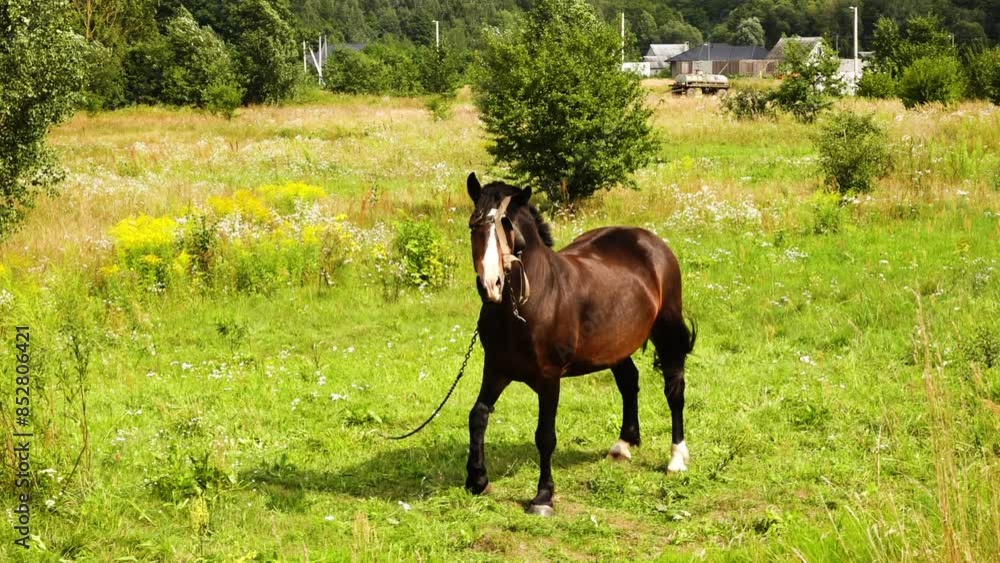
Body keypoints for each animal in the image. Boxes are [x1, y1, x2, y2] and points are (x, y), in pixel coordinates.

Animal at [464, 172, 696, 516]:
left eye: (508, 226)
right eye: (474, 225)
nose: (490, 285)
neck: (525, 306)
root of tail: (651, 242)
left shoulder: (549, 378)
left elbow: (545, 436)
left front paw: (543, 497)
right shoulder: (495, 368)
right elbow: (478, 415)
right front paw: (477, 480)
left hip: (667, 332)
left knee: (674, 390)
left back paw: (677, 459)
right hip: (615, 346)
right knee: (629, 381)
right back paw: (622, 446)